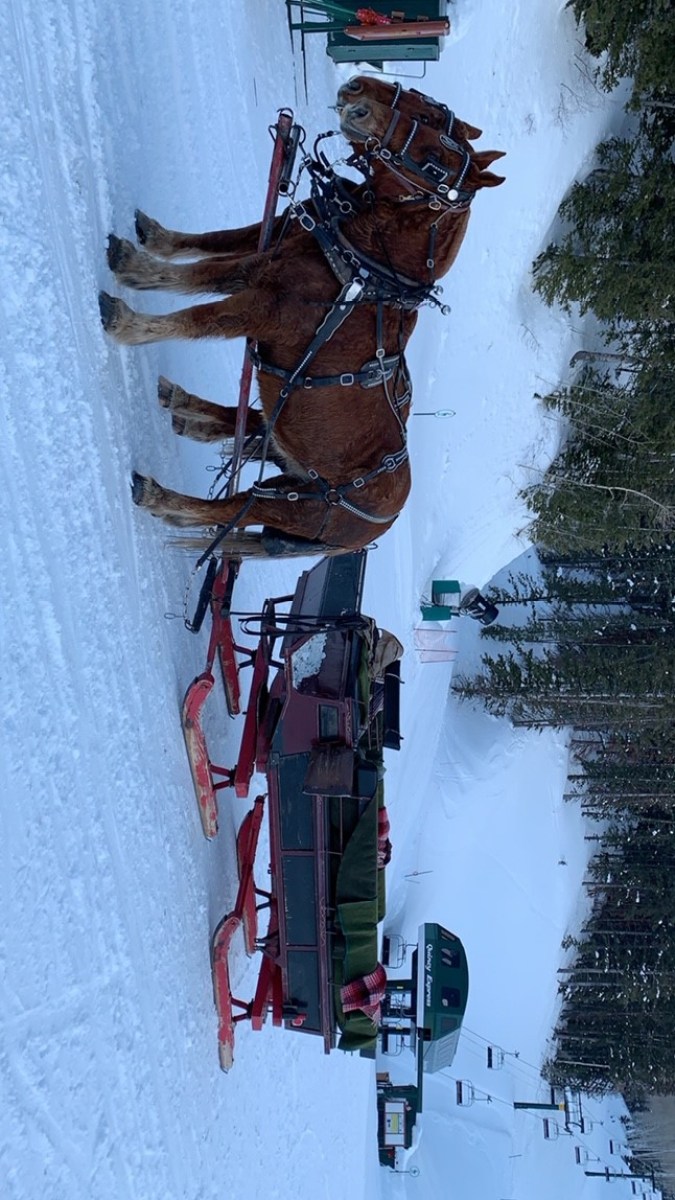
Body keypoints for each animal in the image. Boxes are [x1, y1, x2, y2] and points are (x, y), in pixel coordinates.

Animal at [99, 85, 505, 557]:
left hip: (291, 504)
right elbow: (207, 253)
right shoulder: (268, 250)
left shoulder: (266, 307)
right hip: (286, 464)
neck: (363, 269)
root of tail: (380, 525)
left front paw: (126, 317)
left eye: (437, 156)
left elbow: (198, 312)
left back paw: (162, 494)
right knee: (254, 424)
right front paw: (148, 250)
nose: (357, 102)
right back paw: (188, 412)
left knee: (230, 507)